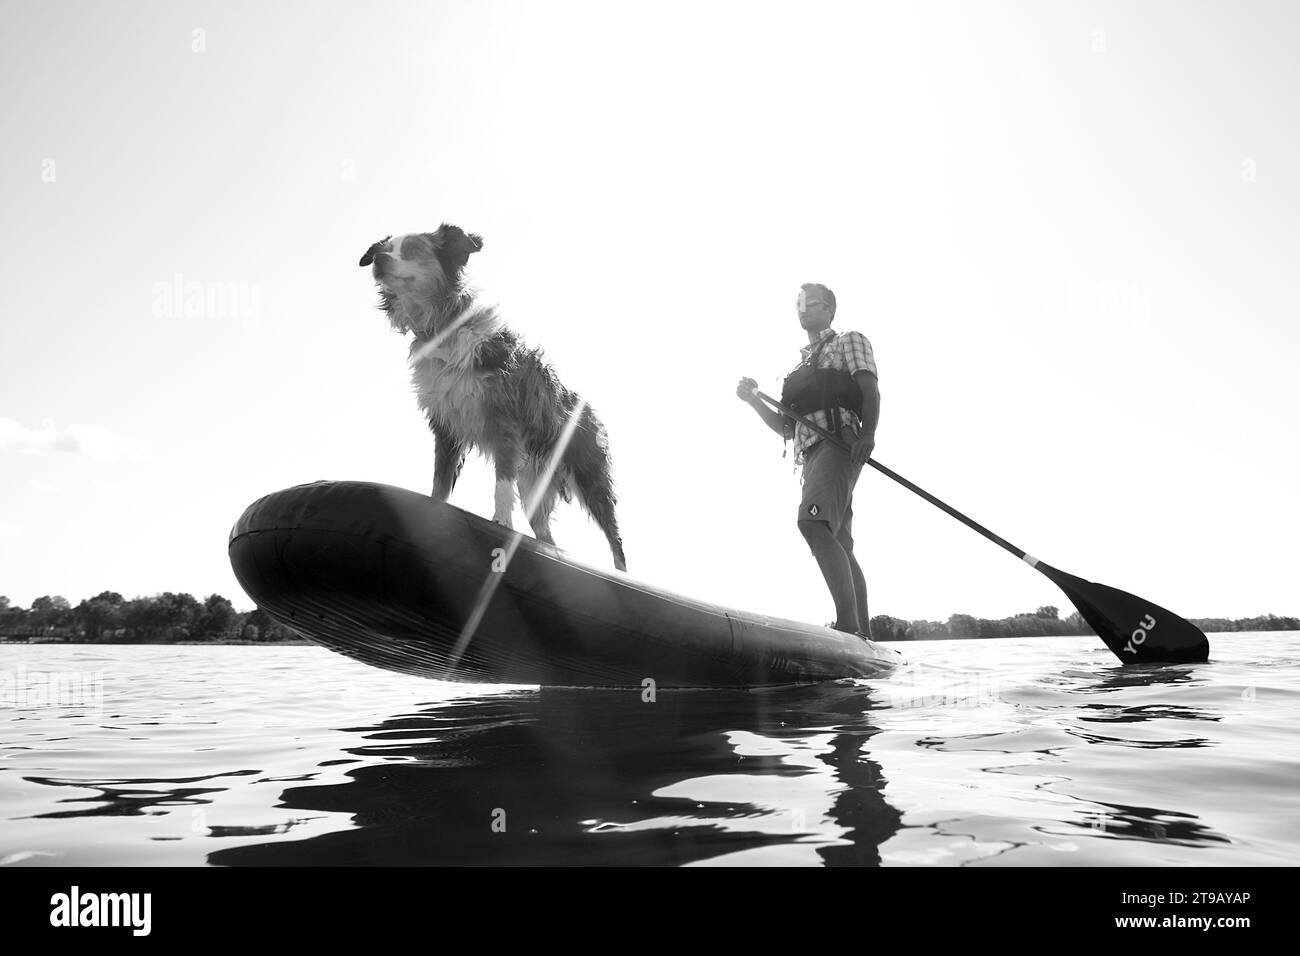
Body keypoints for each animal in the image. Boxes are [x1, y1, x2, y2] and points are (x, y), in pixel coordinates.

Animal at [361, 223, 629, 567]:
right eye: (385, 249)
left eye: (414, 250)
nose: (379, 260)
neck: (444, 326)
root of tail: (589, 410)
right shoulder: (446, 424)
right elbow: (440, 481)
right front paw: (434, 509)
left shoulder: (504, 422)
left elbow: (502, 481)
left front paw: (501, 522)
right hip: (534, 484)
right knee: (546, 535)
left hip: (590, 475)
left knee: (615, 539)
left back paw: (623, 572)